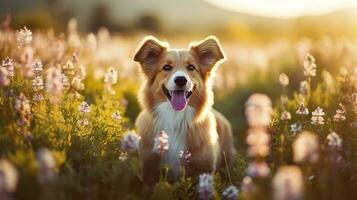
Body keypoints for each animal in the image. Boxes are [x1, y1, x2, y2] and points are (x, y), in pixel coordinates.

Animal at [132, 35, 235, 186]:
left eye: (191, 67)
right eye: (166, 67)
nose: (181, 80)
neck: (175, 117)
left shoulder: (203, 168)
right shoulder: (149, 167)